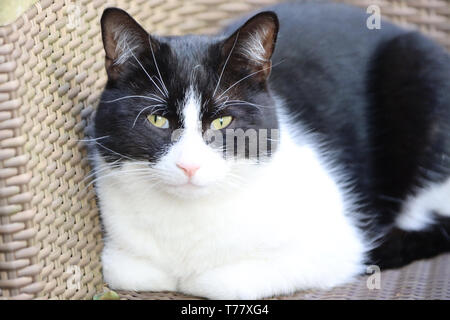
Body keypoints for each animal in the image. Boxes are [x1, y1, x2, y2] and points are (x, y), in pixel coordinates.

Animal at [90, 1, 450, 298]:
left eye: (222, 121)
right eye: (158, 119)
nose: (189, 166)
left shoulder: (337, 244)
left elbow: (220, 282)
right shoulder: (119, 260)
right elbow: (129, 270)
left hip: (420, 71)